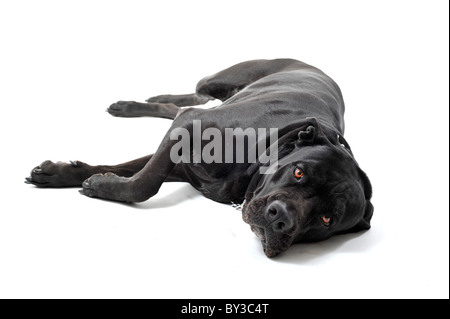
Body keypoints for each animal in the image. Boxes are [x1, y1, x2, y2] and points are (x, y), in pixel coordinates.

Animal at [26, 58, 374, 258]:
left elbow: (136, 176)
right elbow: (143, 181)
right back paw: (138, 102)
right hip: (219, 80)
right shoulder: (190, 125)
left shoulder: (182, 162)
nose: (280, 218)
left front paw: (89, 179)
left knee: (181, 105)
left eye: (327, 219)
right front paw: (73, 177)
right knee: (194, 95)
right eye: (299, 172)